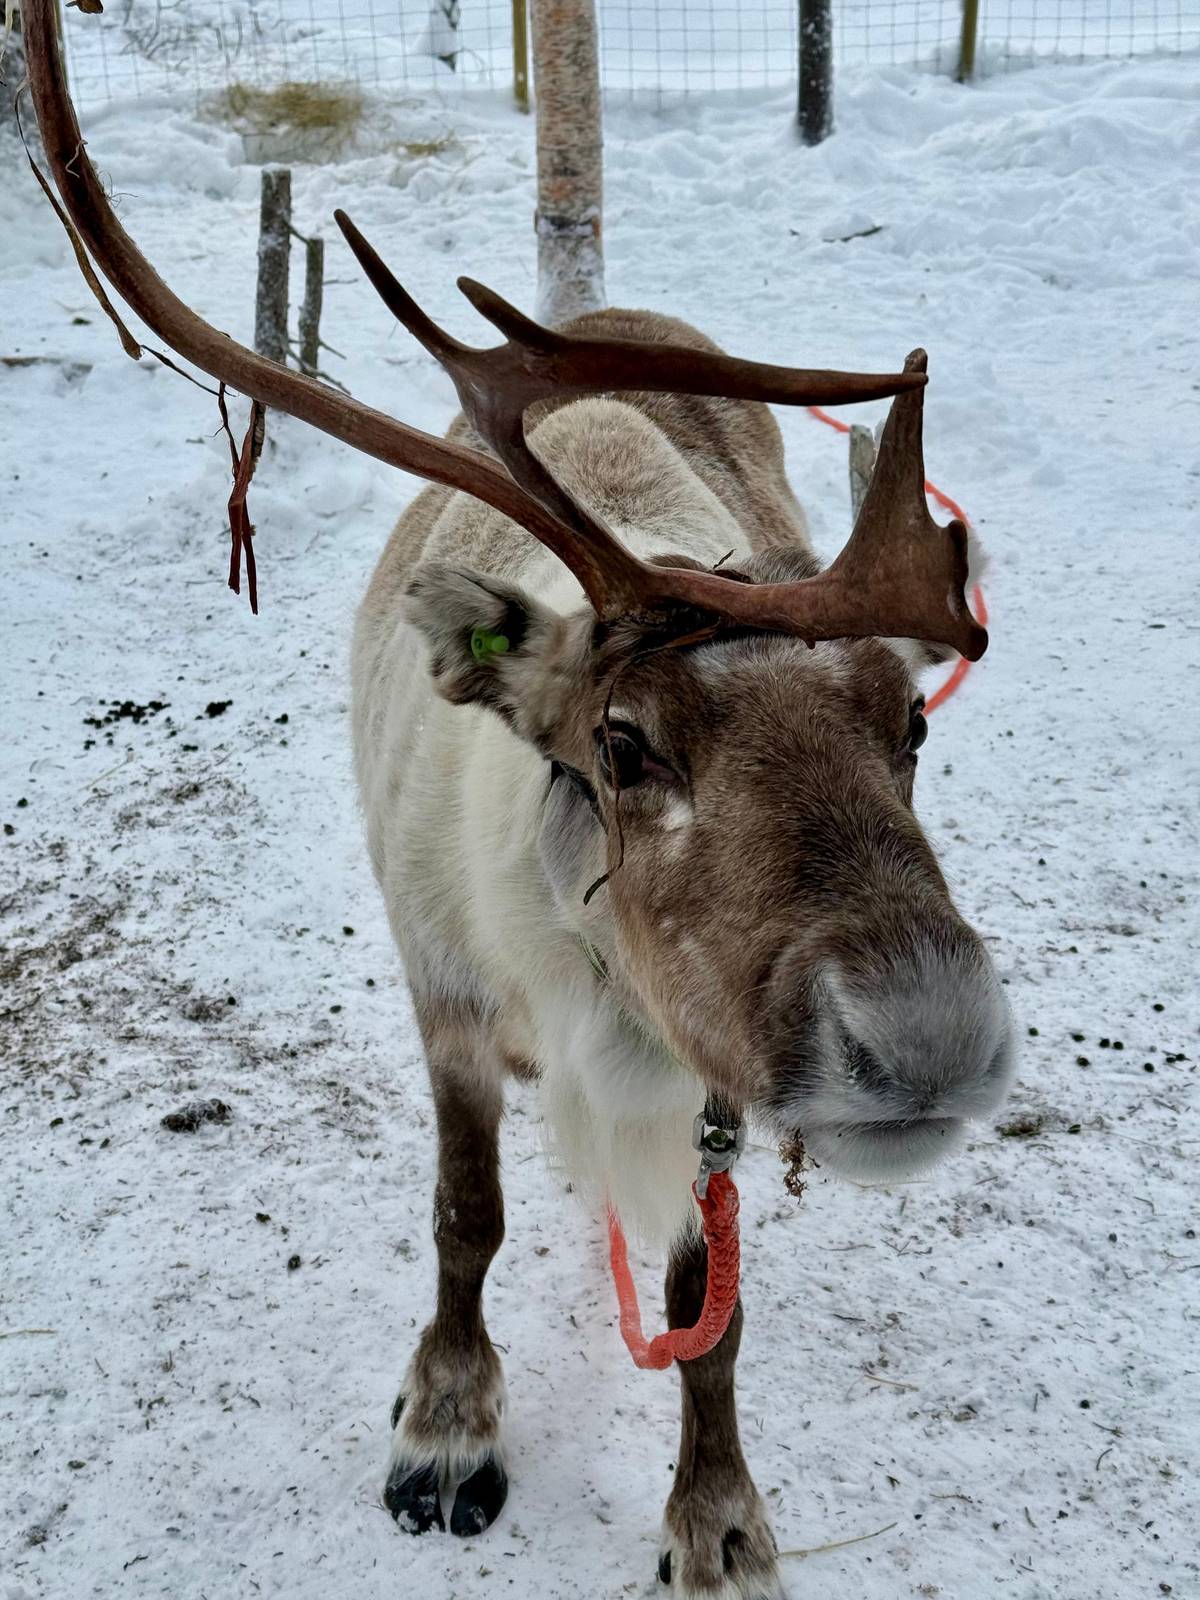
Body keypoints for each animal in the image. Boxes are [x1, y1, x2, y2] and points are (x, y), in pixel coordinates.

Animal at [25, 9, 1015, 1596]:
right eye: (620, 743)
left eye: (910, 721)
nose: (930, 1041)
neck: (579, 989)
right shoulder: (441, 992)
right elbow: (463, 1217)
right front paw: (447, 1424)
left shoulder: (702, 1081)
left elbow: (706, 1305)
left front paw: (715, 1515)